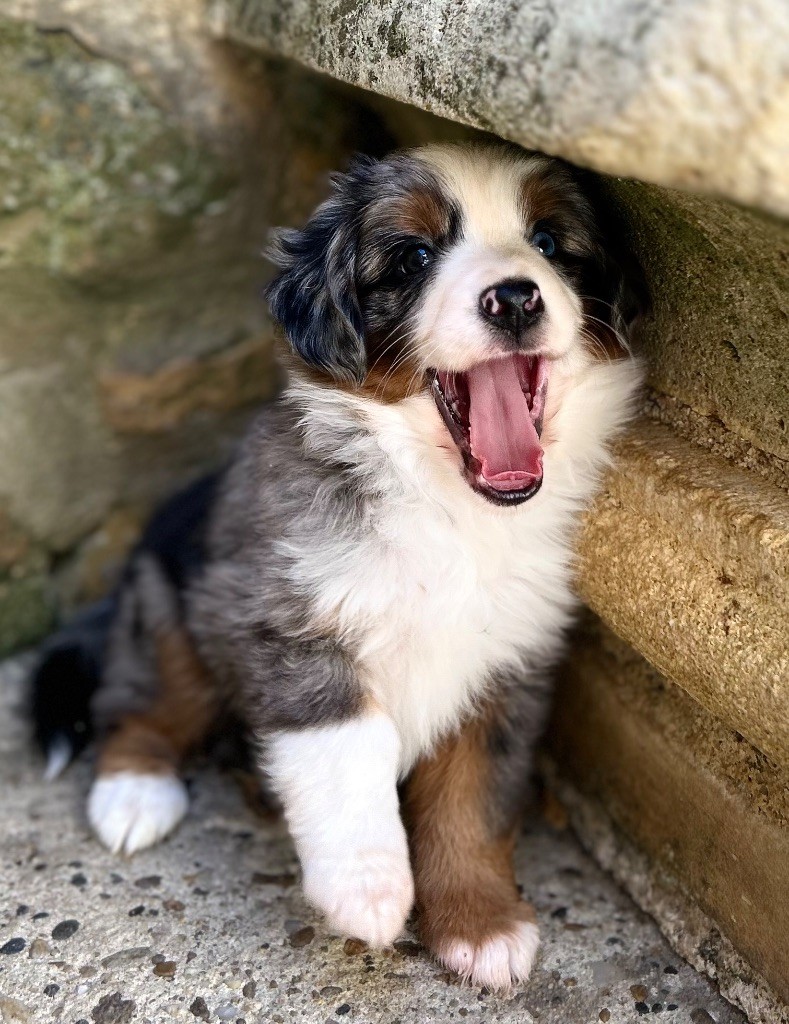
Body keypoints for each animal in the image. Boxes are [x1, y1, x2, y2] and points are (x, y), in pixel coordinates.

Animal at [31, 143, 644, 990]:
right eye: (413, 257)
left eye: (550, 243)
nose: (515, 298)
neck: (447, 510)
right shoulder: (285, 624)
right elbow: (346, 756)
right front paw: (368, 891)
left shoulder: (509, 664)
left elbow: (472, 800)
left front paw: (480, 924)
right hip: (166, 606)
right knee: (143, 703)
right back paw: (133, 795)